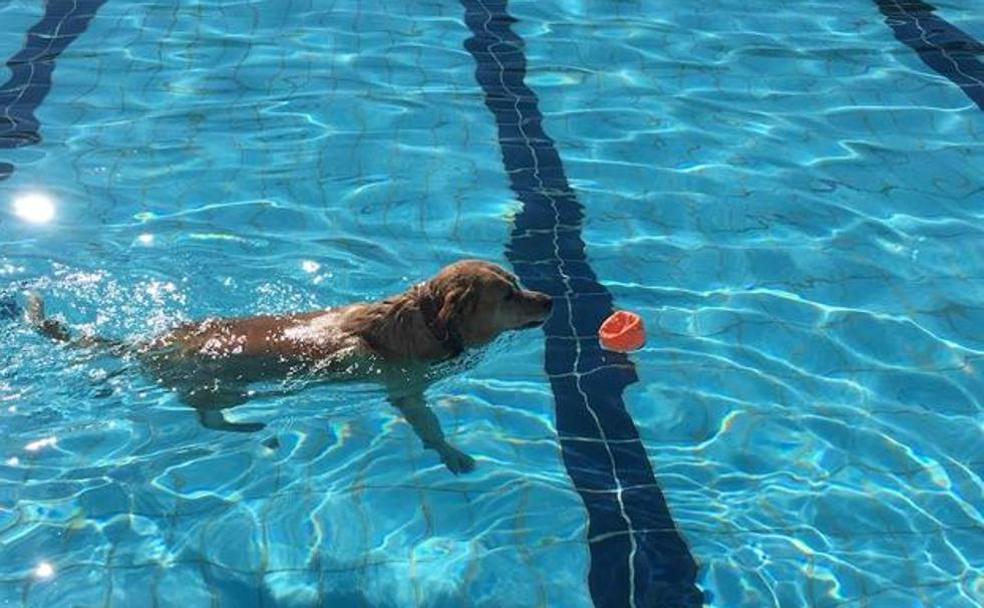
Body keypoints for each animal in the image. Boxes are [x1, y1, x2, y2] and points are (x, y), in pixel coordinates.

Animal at [26, 258, 552, 472]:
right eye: (507, 295)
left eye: (517, 283)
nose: (549, 298)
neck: (421, 320)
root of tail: (148, 342)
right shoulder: (406, 391)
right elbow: (429, 427)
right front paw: (450, 452)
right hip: (216, 386)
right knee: (208, 418)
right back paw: (252, 427)